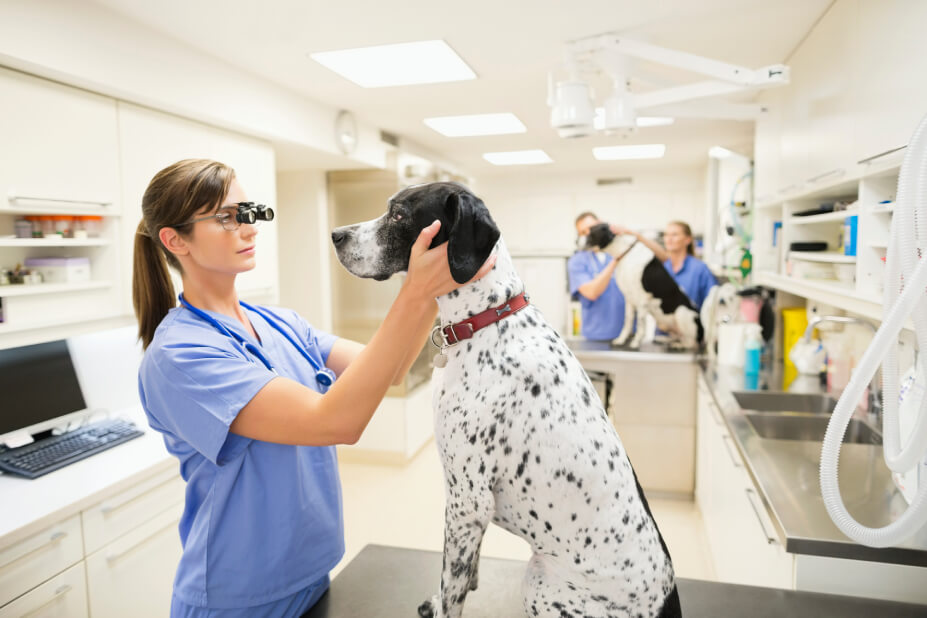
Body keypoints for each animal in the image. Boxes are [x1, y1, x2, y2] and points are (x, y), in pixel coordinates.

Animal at [334, 183, 680, 616]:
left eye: (398, 215)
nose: (336, 235)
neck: (485, 319)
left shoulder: (467, 499)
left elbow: (452, 585)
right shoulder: (469, 507)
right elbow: (464, 571)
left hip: (538, 578)